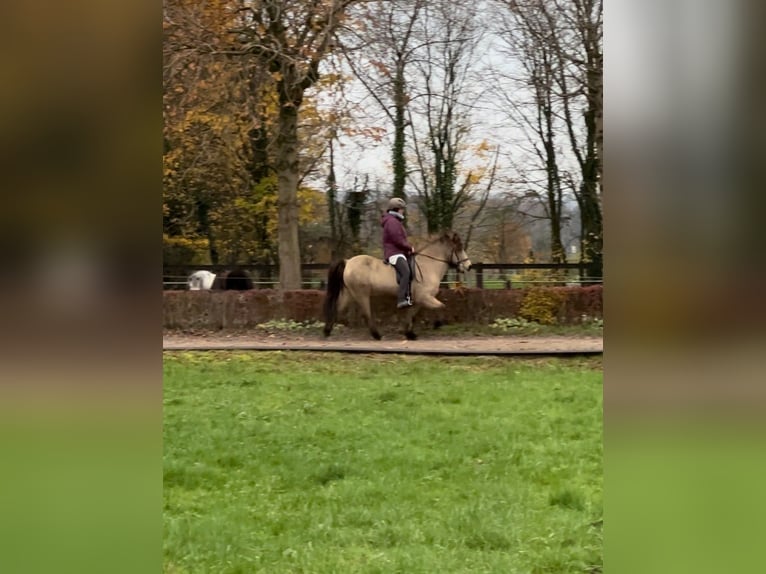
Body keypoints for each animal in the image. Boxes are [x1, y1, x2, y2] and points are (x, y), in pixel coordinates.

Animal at [322, 233, 472, 342]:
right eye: (459, 248)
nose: (469, 266)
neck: (428, 265)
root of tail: (348, 261)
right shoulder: (424, 297)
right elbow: (441, 307)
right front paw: (437, 324)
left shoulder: (418, 300)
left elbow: (411, 314)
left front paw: (409, 333)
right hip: (361, 294)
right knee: (366, 314)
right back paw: (376, 335)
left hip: (349, 294)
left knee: (338, 308)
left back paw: (327, 331)